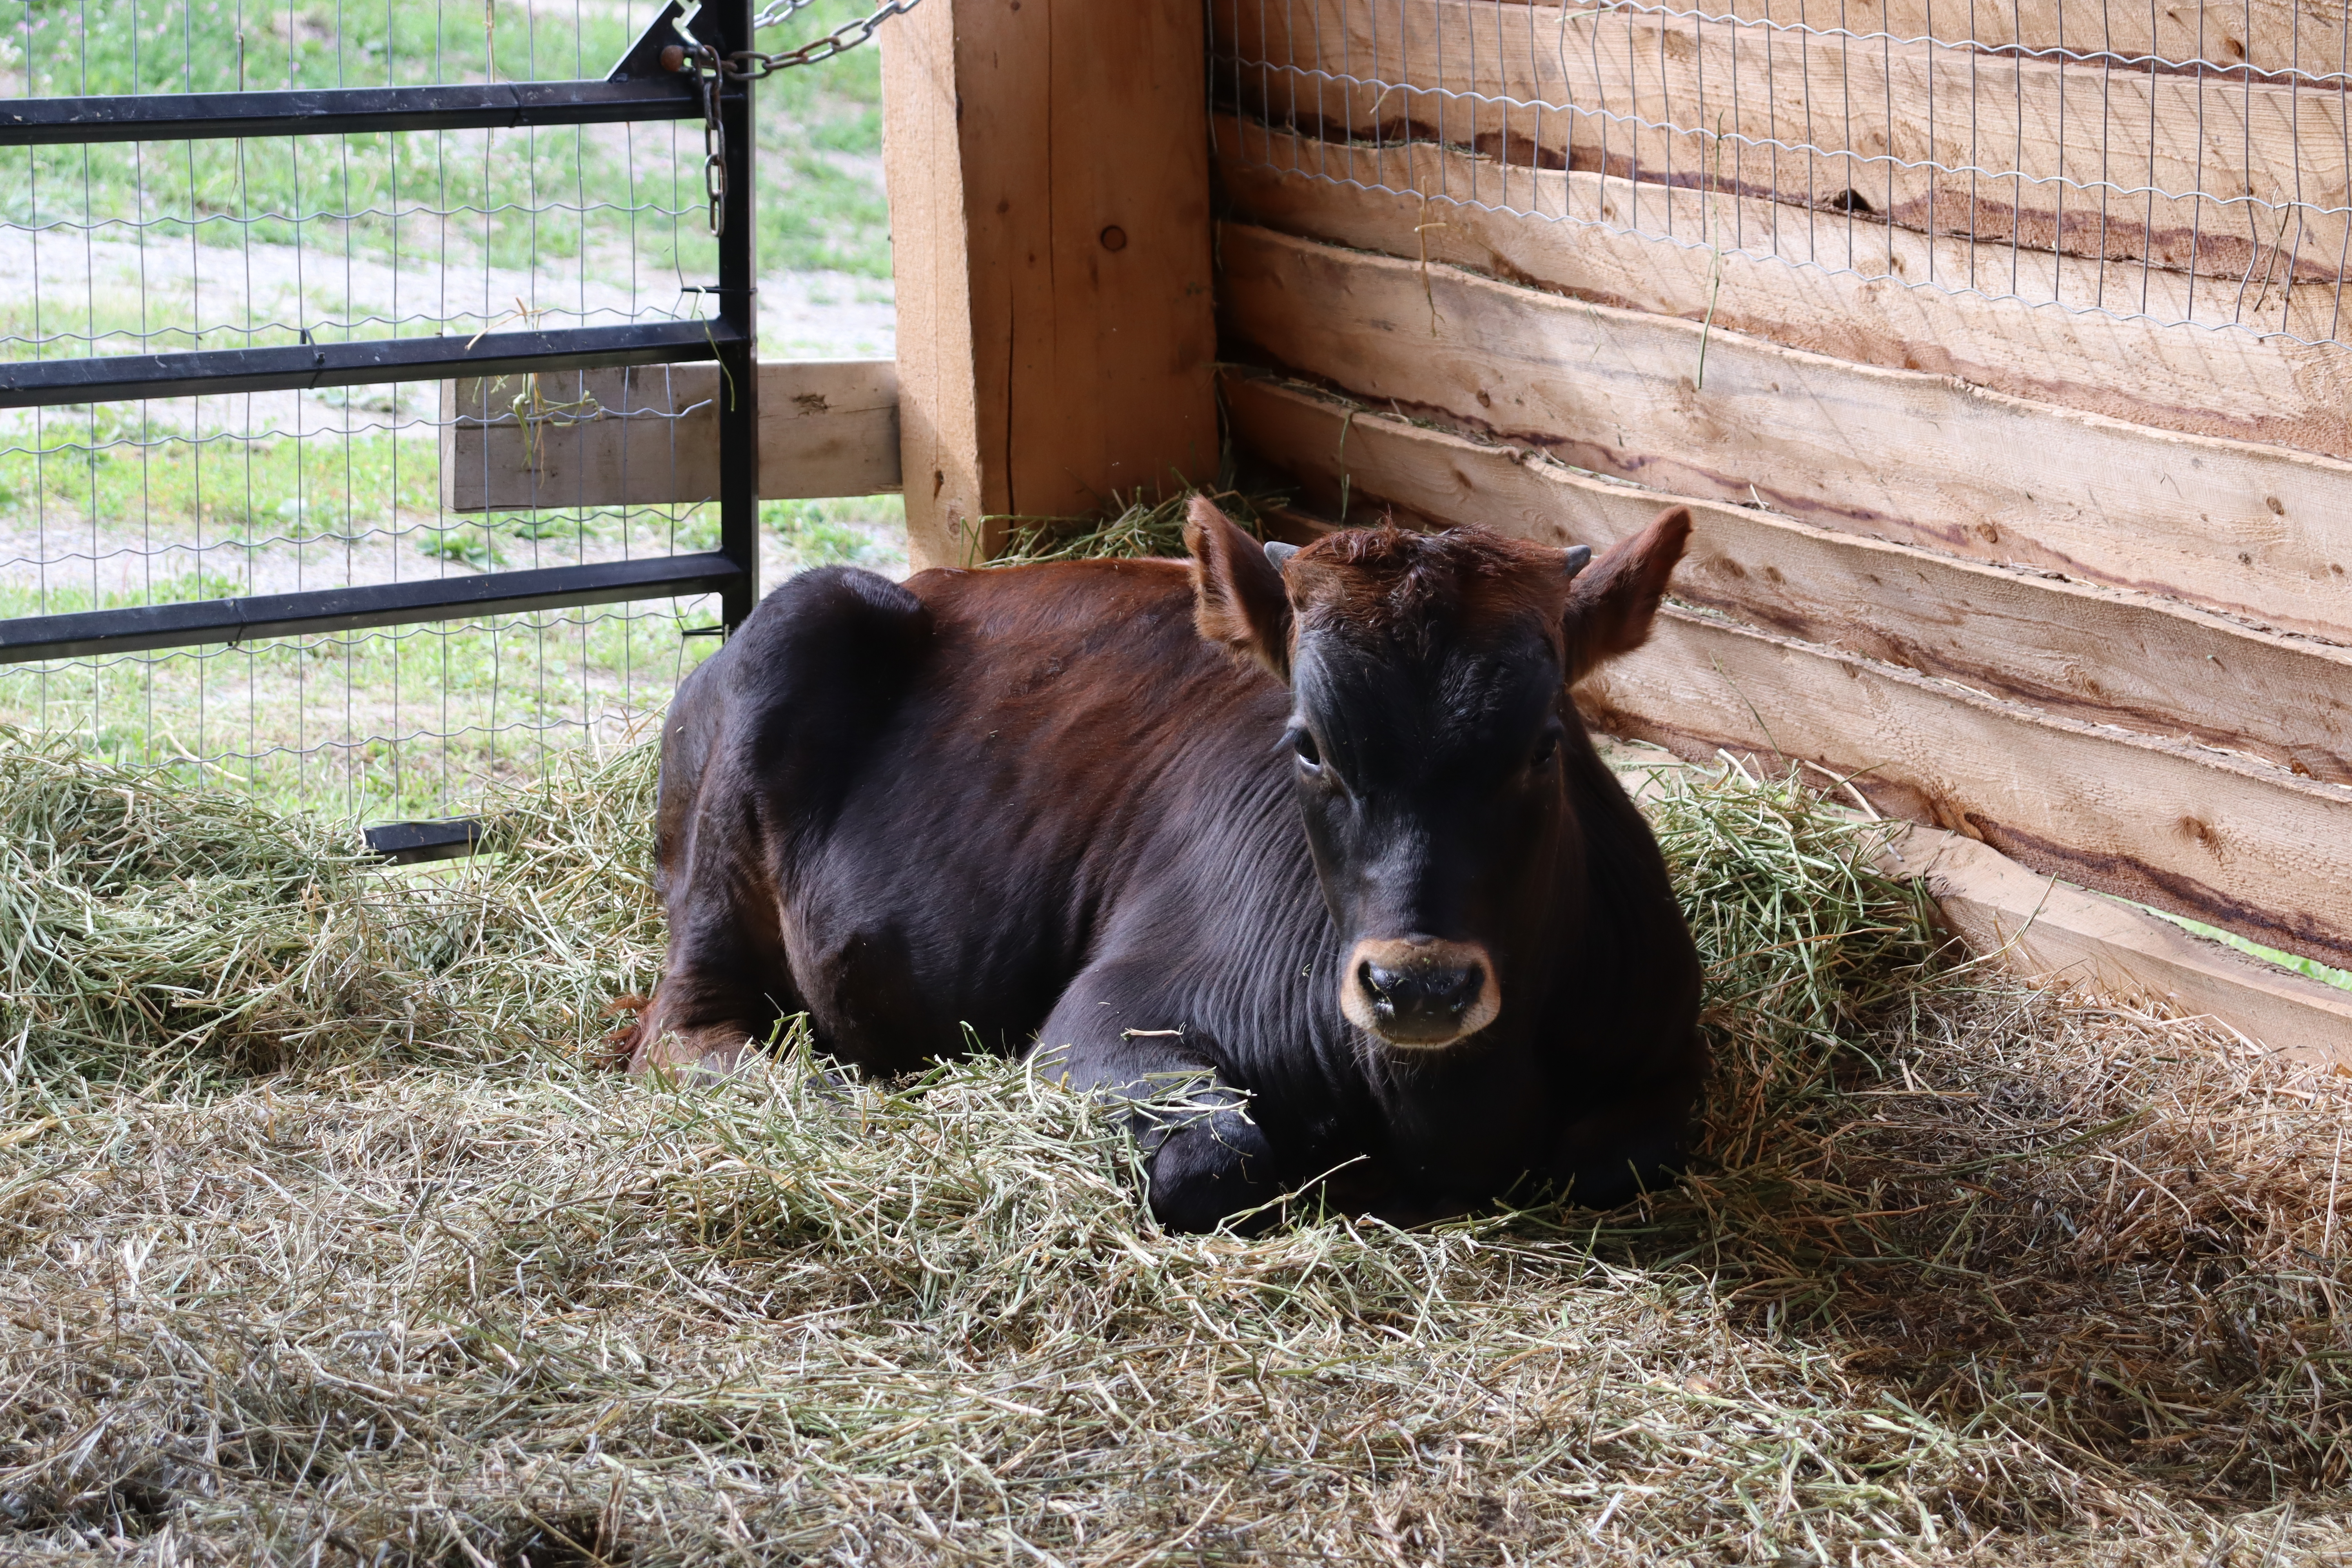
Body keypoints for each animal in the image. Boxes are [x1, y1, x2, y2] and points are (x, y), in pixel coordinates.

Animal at [630, 497, 1705, 1232]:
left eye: (1543, 744)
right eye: (1309, 745)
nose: (1418, 985)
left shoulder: (1664, 1054)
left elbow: (1619, 1158)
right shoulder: (1106, 1014)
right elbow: (1219, 1158)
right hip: (761, 735)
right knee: (683, 1027)